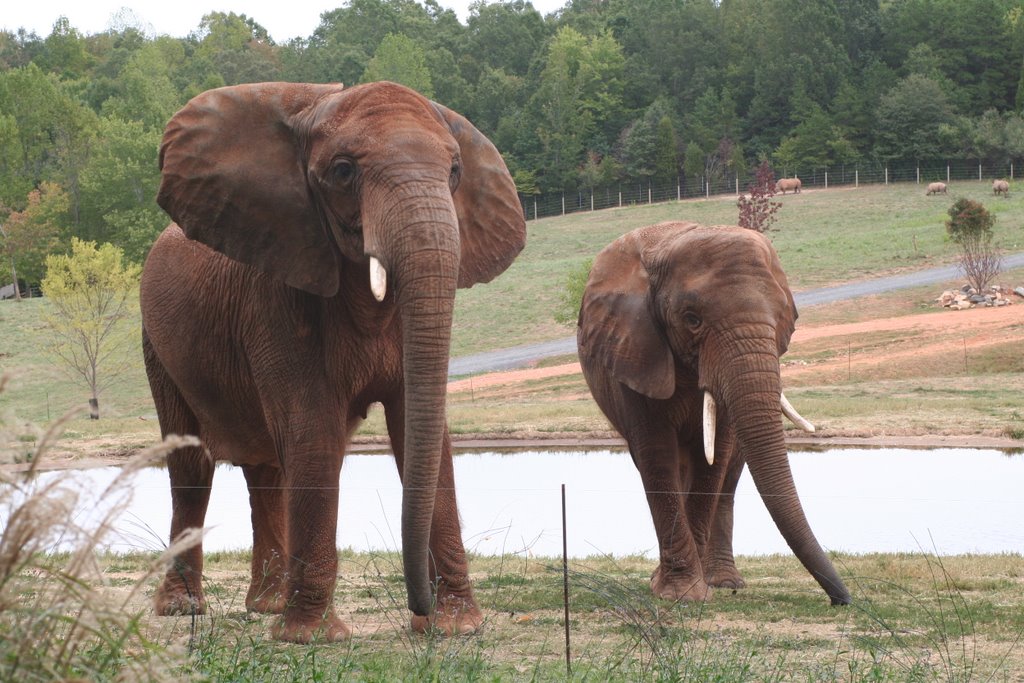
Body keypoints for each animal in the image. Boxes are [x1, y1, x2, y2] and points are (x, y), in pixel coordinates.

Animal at [142, 82, 528, 643]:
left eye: (455, 172)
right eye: (344, 172)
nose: (418, 609)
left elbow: (421, 430)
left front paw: (457, 627)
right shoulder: (276, 295)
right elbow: (313, 432)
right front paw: (312, 639)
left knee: (267, 469)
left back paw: (265, 605)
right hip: (156, 346)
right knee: (193, 468)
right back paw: (183, 609)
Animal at [581, 222, 851, 606]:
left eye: (782, 315)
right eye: (692, 319)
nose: (840, 600)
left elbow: (713, 460)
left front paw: (690, 590)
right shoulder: (635, 352)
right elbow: (657, 456)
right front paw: (681, 594)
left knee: (729, 478)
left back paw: (724, 581)